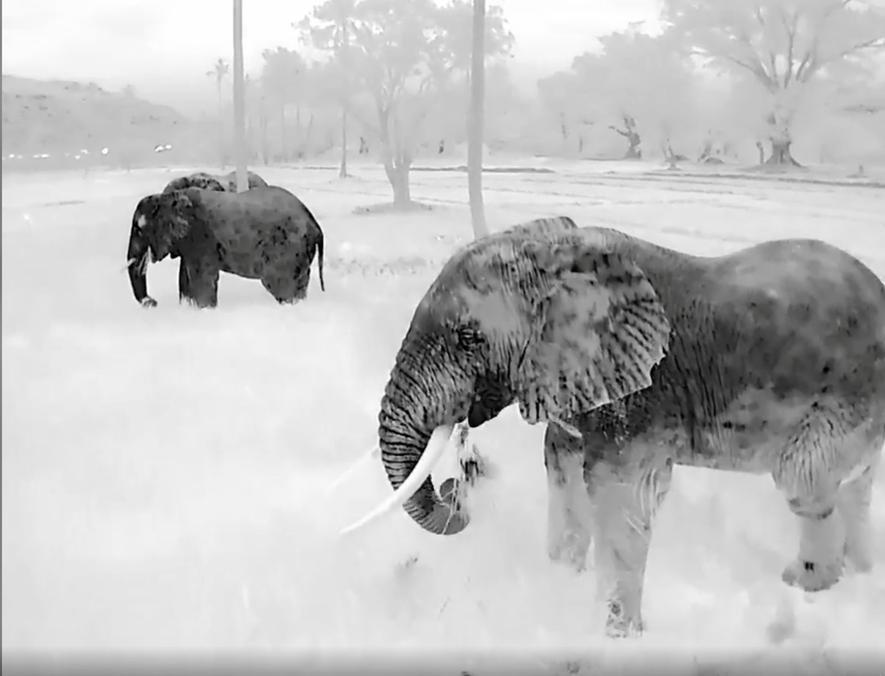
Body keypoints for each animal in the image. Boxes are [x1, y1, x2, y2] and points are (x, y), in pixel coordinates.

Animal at [126, 185, 325, 308]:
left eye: (138, 230)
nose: (152, 302)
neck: (168, 197)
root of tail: (315, 224)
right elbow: (186, 277)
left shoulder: (201, 237)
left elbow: (201, 278)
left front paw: (204, 309)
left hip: (287, 248)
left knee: (278, 284)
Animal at [344, 215, 885, 638]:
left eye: (467, 338)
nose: (457, 488)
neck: (556, 253)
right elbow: (561, 465)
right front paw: (561, 583)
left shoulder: (640, 398)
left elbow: (621, 493)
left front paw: (615, 636)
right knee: (854, 488)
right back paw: (860, 574)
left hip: (843, 398)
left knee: (805, 483)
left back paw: (806, 586)